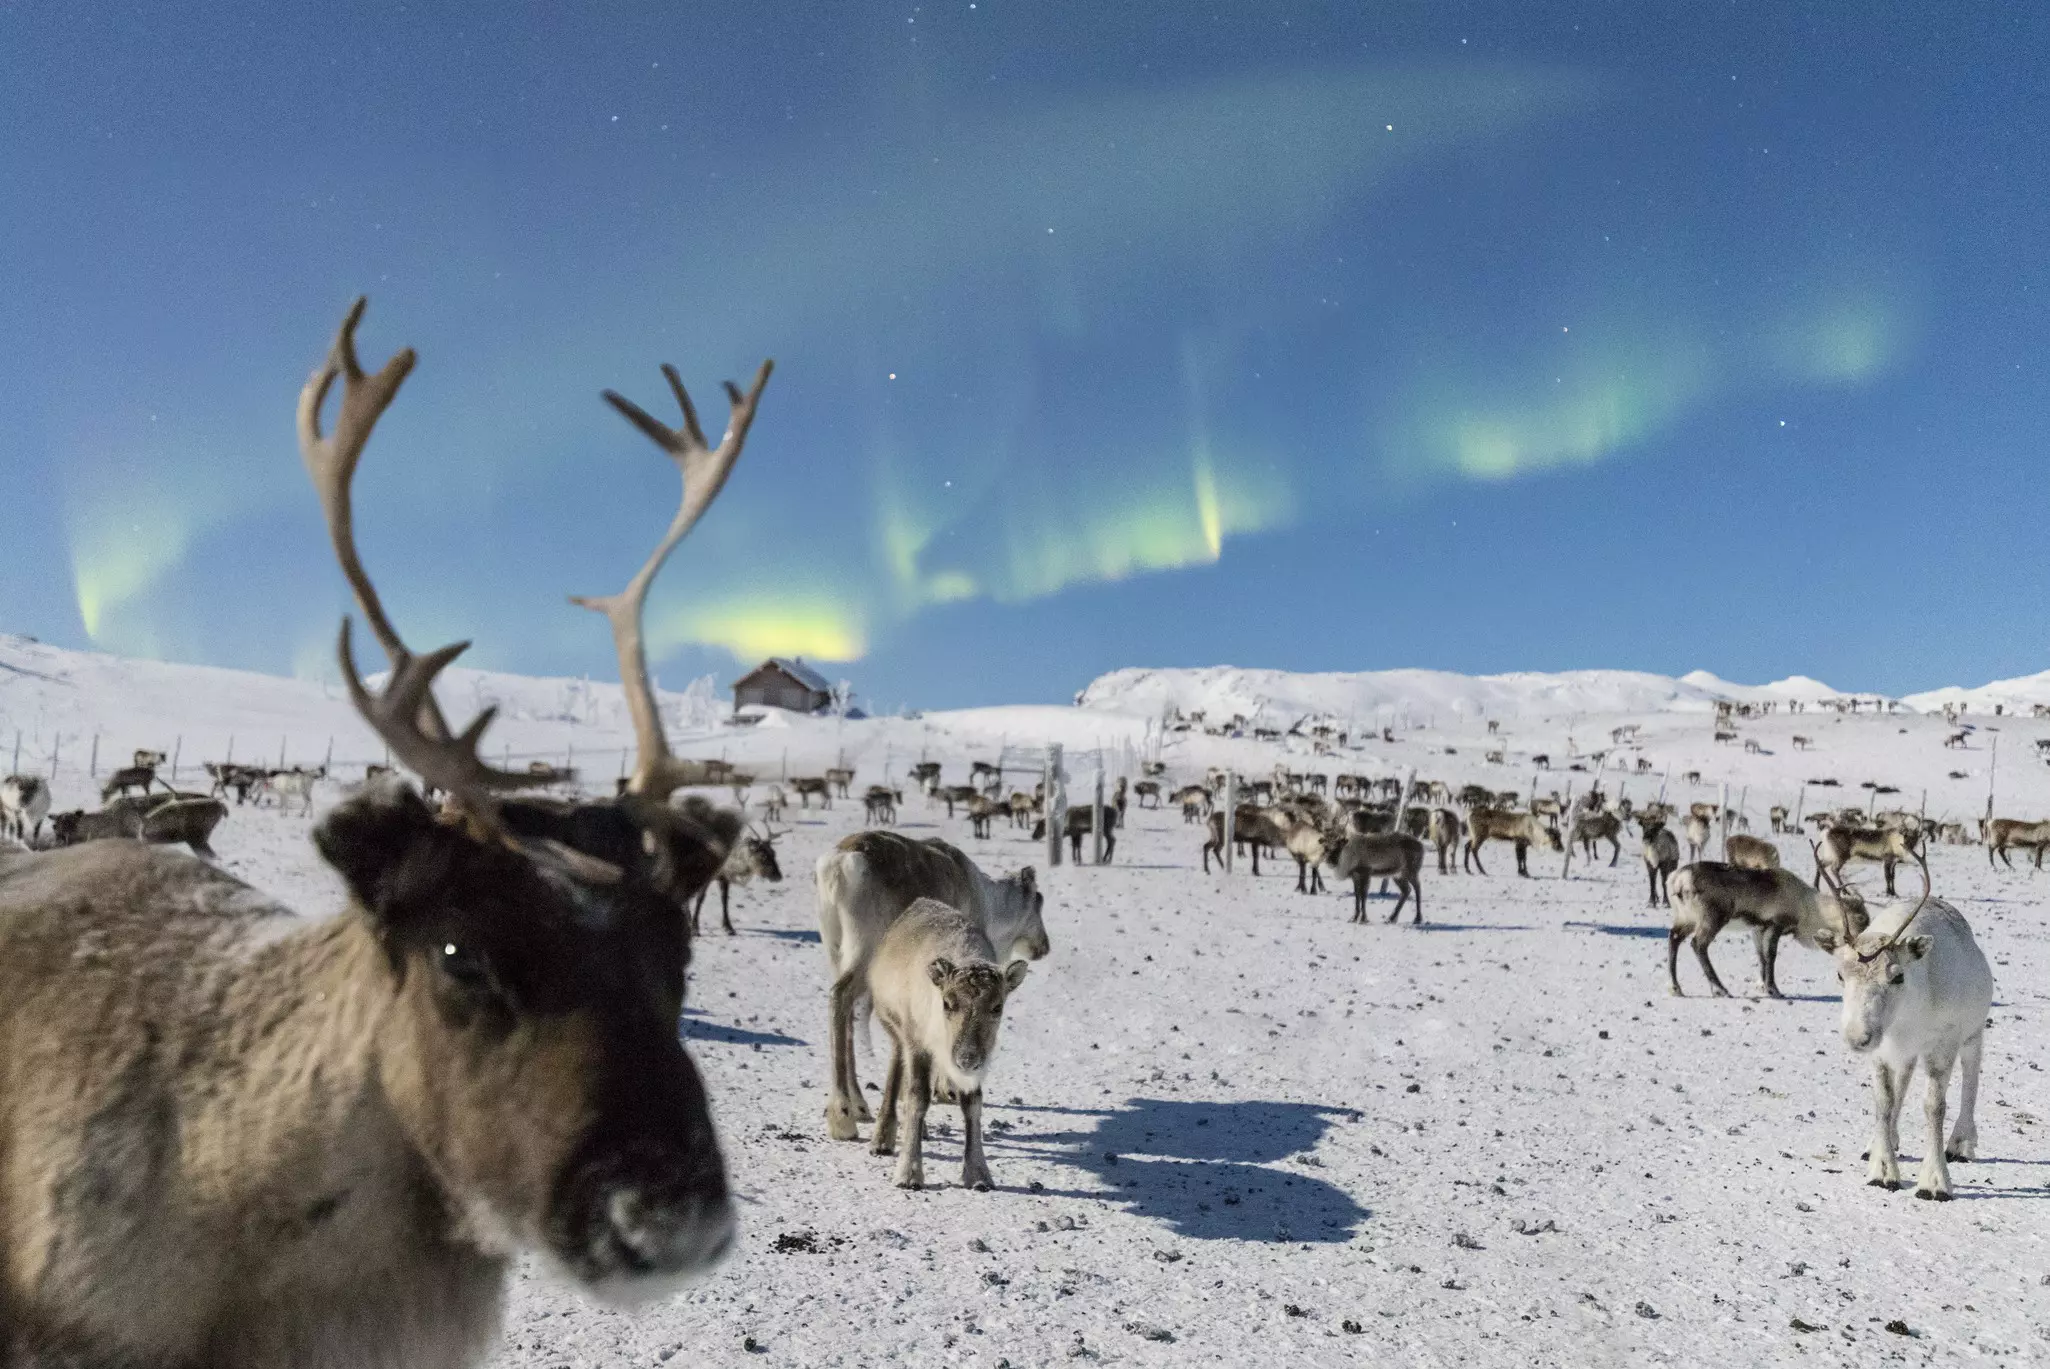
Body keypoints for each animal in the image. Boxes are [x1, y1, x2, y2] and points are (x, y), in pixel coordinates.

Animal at [863, 898, 1030, 1190]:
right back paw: (882, 1139)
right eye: (947, 1003)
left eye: (997, 1007)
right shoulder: (916, 1043)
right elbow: (917, 1097)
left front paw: (978, 1174)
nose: (966, 1058)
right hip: (894, 1028)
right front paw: (908, 1173)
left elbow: (972, 1103)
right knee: (896, 1067)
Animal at [1809, 891, 1993, 1199]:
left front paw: (1935, 1183)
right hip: (1906, 1054)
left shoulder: (1943, 1044)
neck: (1907, 1016)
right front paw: (1882, 1171)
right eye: (1840, 975)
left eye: (1897, 976)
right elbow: (1885, 1100)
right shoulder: (1884, 1050)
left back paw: (1961, 1143)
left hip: (1973, 1032)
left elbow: (1934, 1106)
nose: (1857, 1037)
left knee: (1971, 1074)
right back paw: (1881, 1142)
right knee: (1902, 1083)